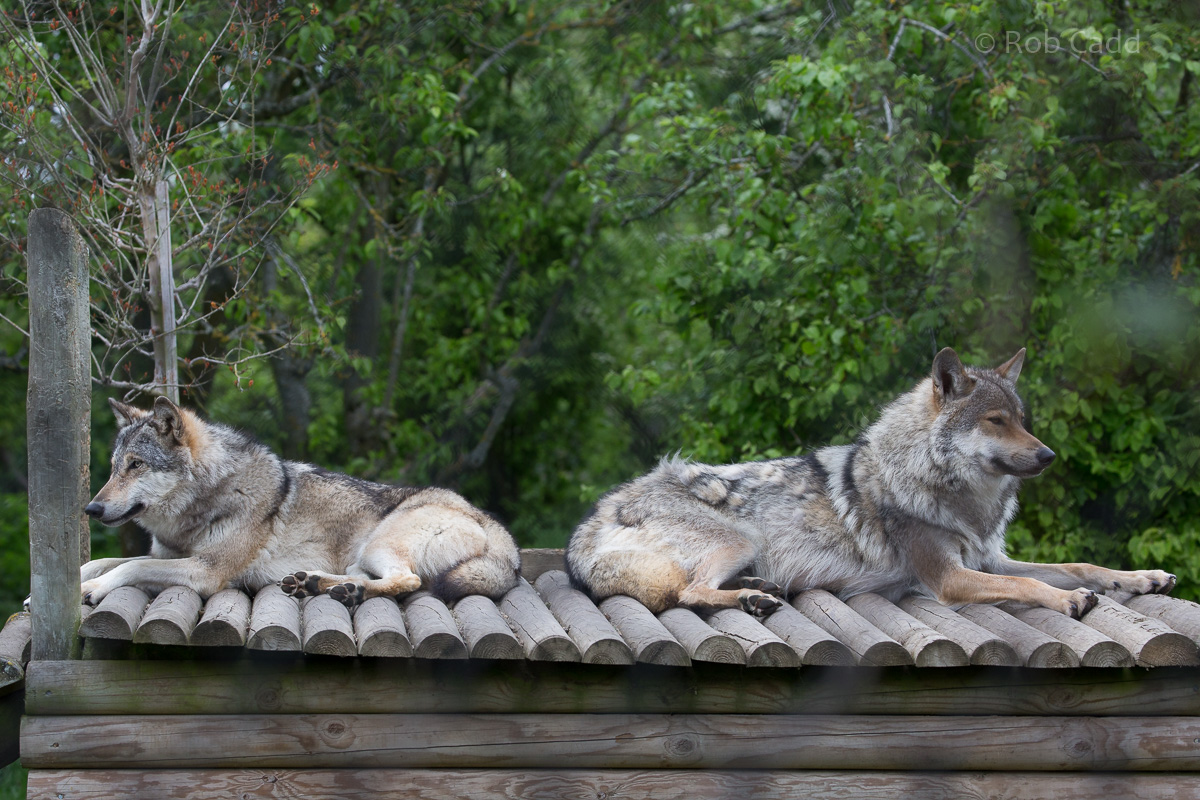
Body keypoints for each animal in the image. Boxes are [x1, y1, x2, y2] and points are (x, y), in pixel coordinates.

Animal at [78, 396, 520, 606]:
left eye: (136, 465)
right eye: (114, 467)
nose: (91, 509)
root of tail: (488, 520)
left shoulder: (206, 571)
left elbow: (130, 567)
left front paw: (95, 588)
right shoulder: (170, 556)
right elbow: (108, 560)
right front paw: (80, 577)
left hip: (378, 545)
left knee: (406, 581)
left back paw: (341, 591)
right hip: (361, 559)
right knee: (378, 579)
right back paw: (317, 584)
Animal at [566, 348, 1175, 619]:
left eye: (1023, 420)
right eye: (996, 421)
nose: (1048, 455)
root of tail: (590, 522)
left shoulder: (988, 560)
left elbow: (1081, 564)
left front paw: (1143, 578)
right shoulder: (950, 578)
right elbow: (1035, 584)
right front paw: (1069, 599)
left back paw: (758, 589)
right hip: (739, 539)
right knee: (687, 592)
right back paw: (750, 598)